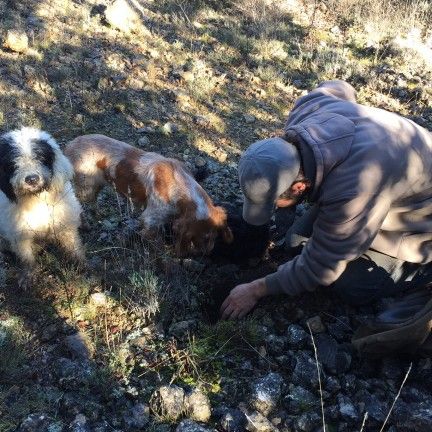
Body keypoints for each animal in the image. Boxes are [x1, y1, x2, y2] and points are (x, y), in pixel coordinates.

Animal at [0, 128, 85, 290]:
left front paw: (80, 265)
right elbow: (26, 258)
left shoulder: (65, 224)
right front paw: (27, 276)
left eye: (39, 157)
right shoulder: (20, 234)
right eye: (13, 162)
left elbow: (73, 246)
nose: (32, 179)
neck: (36, 200)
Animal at [65, 135, 233, 255]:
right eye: (202, 238)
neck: (181, 185)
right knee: (79, 207)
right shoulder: (151, 218)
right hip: (85, 187)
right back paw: (86, 226)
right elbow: (153, 239)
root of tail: (69, 146)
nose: (206, 253)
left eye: (213, 236)